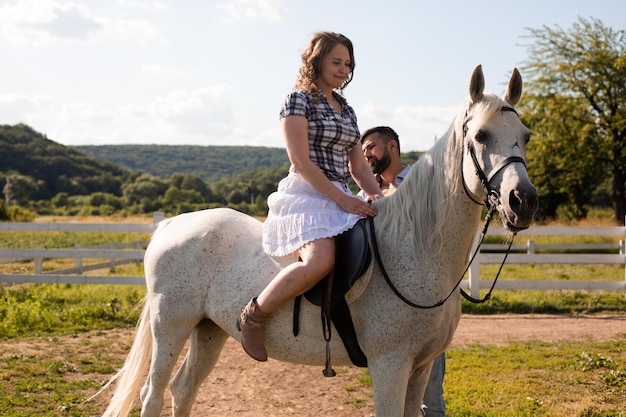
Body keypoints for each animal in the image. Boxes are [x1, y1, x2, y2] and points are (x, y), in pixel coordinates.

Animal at [98, 65, 536, 416]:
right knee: (153, 394)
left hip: (208, 330)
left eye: (526, 136)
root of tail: (171, 226)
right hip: (170, 327)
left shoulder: (421, 366)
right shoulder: (391, 366)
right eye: (481, 135)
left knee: (183, 389)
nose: (524, 201)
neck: (417, 247)